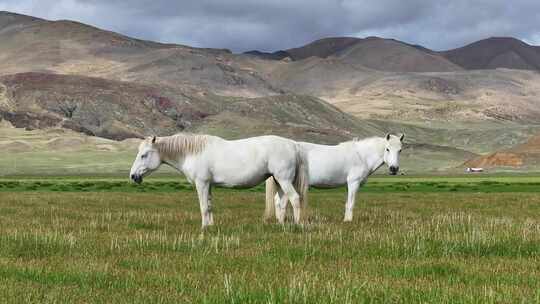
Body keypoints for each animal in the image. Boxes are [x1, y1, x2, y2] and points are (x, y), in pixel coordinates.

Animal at [130, 134, 308, 227]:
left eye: (144, 155)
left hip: (284, 180)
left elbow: (203, 207)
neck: (192, 153)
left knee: (295, 199)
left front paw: (203, 228)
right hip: (279, 182)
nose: (132, 176)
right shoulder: (208, 185)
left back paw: (297, 225)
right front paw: (210, 226)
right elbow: (209, 206)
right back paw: (280, 225)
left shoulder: (201, 184)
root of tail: (294, 145)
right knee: (282, 202)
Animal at [266, 134, 404, 222]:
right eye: (387, 149)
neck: (361, 155)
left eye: (400, 150)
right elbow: (351, 203)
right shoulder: (354, 183)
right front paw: (348, 221)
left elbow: (347, 203)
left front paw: (345, 219)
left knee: (277, 200)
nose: (394, 169)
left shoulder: (349, 185)